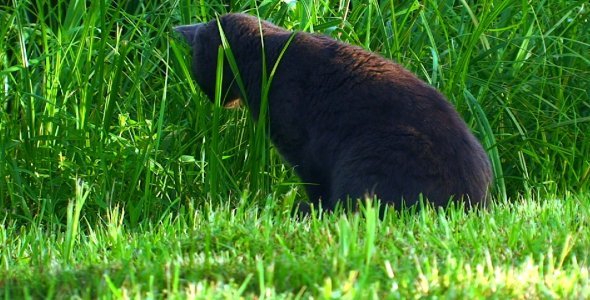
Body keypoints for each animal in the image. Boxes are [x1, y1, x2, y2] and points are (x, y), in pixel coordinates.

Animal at [176, 13, 494, 211]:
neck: (265, 58)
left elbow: (315, 184)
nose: (213, 98)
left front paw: (316, 208)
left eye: (196, 64)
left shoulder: (301, 149)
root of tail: (474, 203)